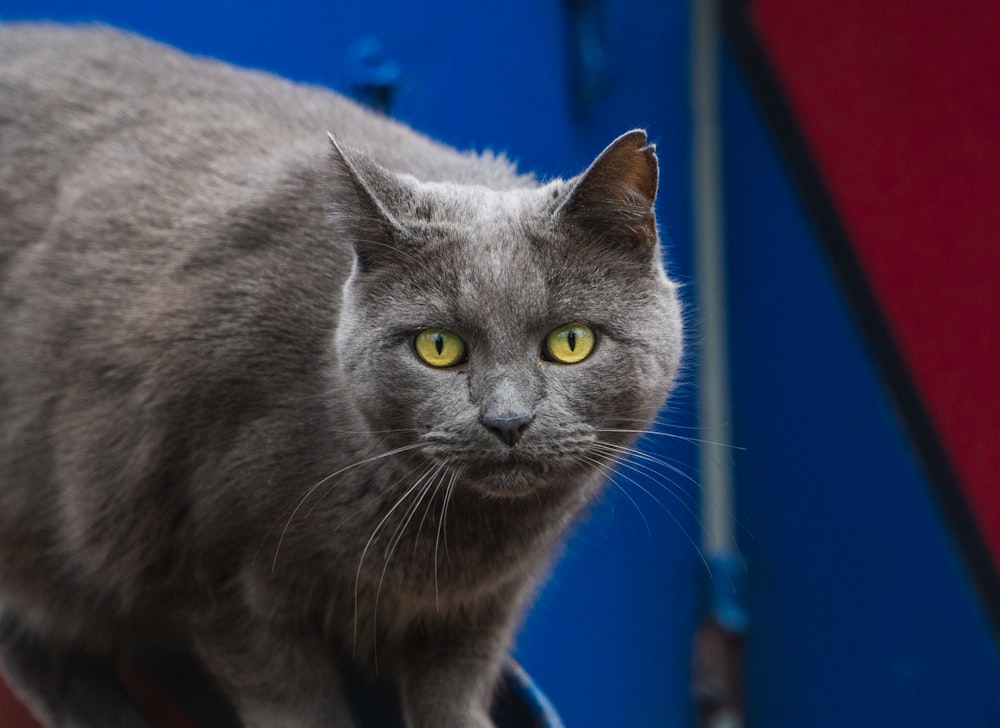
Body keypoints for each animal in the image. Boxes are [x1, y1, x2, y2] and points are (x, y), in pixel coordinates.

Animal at [0, 22, 680, 728]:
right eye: (438, 346)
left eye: (570, 342)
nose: (508, 420)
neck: (456, 547)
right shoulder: (222, 582)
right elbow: (295, 703)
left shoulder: (484, 610)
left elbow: (453, 693)